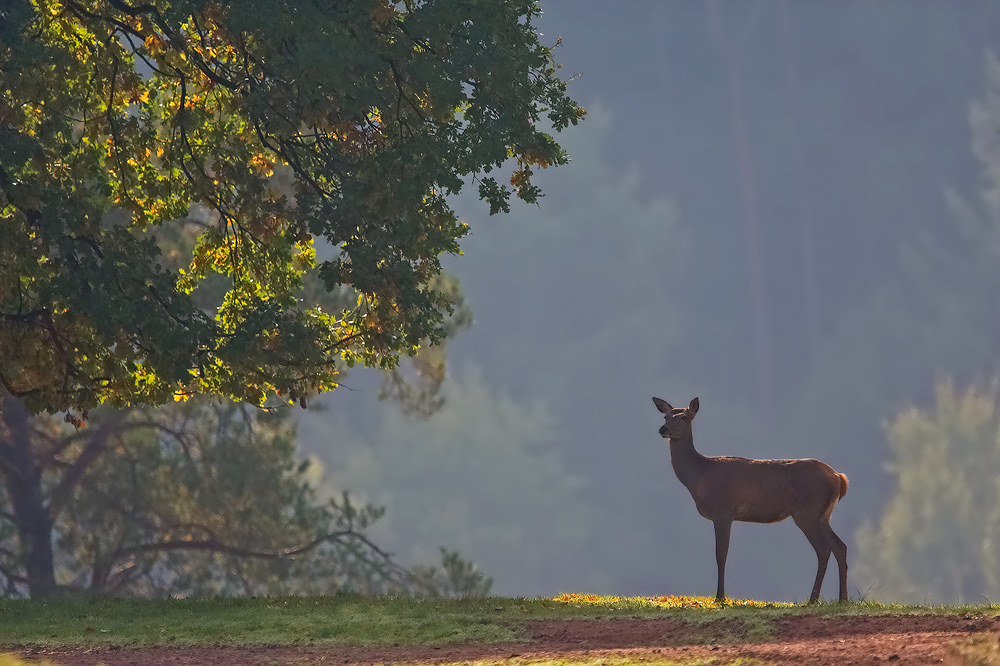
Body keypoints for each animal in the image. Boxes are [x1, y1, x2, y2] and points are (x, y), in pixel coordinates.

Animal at [652, 396, 848, 604]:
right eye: (666, 416)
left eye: (683, 417)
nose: (663, 429)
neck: (699, 477)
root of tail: (839, 478)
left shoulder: (723, 512)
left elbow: (721, 554)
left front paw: (720, 597)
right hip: (822, 515)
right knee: (839, 546)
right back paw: (842, 598)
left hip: (808, 512)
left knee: (824, 549)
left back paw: (814, 599)